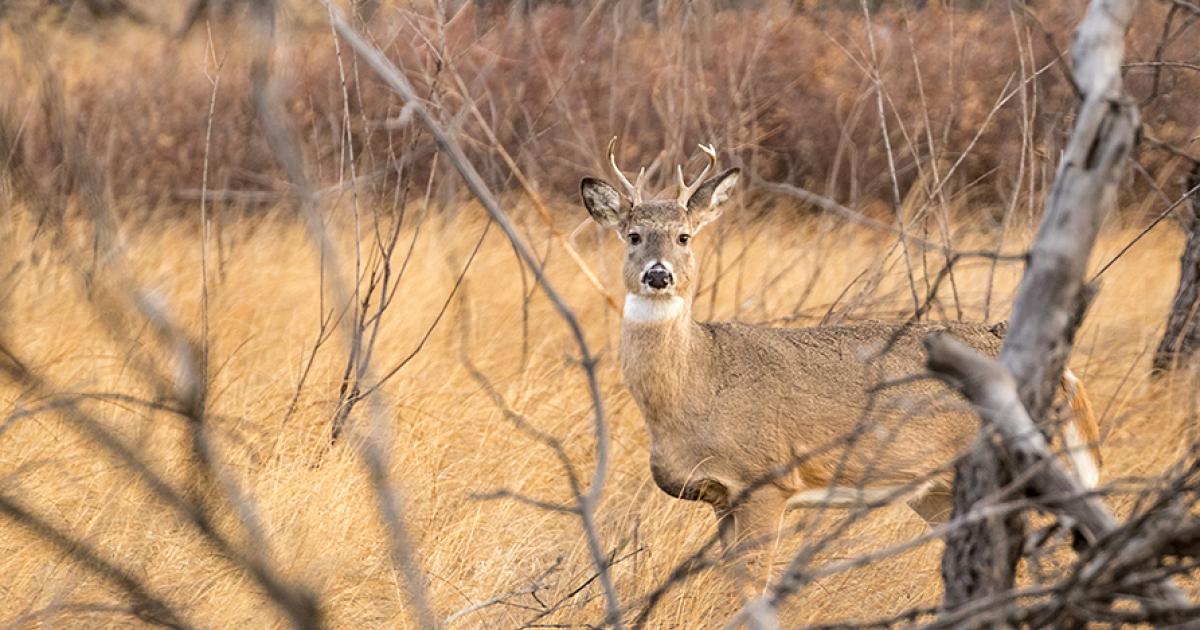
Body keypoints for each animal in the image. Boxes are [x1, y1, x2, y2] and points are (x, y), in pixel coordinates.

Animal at [579, 139, 1102, 560]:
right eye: (633, 236)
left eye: (684, 236)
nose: (658, 274)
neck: (698, 380)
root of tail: (1062, 373)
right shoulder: (721, 497)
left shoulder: (765, 480)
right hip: (935, 489)